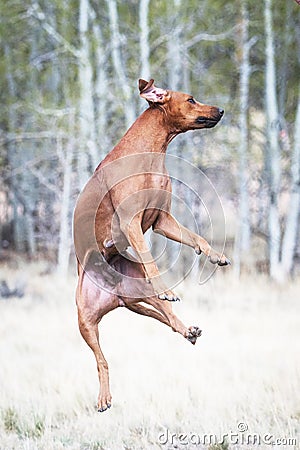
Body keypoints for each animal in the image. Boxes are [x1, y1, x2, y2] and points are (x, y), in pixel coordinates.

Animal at [73, 78, 230, 412]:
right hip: (85, 321)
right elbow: (151, 258)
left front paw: (215, 255)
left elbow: (197, 238)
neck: (151, 153)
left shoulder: (162, 220)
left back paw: (187, 329)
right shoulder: (131, 224)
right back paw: (104, 397)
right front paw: (168, 284)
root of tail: (115, 296)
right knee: (101, 361)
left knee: (167, 316)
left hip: (139, 297)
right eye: (191, 99)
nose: (222, 109)